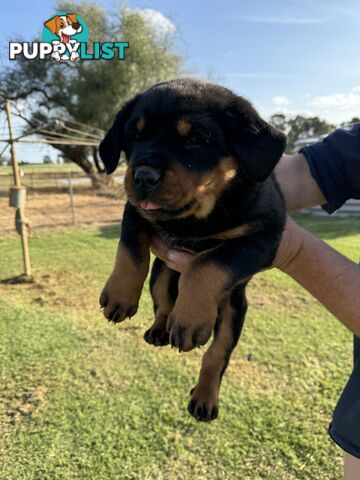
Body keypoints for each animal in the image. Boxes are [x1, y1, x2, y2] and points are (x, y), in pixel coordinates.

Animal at [98, 78, 286, 420]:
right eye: (135, 134)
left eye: (196, 139)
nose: (142, 177)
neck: (193, 221)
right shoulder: (134, 211)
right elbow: (130, 250)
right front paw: (119, 295)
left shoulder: (262, 239)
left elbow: (208, 264)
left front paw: (190, 317)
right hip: (161, 273)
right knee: (163, 302)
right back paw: (159, 331)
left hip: (233, 309)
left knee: (216, 354)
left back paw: (204, 397)